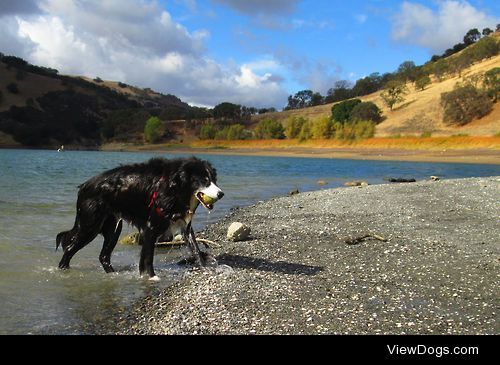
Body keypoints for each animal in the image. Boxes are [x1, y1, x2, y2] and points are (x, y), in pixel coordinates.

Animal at [55, 156, 224, 278]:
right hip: (90, 226)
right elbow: (148, 257)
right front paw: (151, 277)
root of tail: (83, 186)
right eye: (204, 180)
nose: (221, 194)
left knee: (103, 256)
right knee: (69, 249)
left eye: (214, 180)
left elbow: (196, 249)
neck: (174, 185)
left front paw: (205, 268)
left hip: (113, 228)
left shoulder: (184, 225)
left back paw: (113, 274)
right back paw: (64, 270)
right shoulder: (151, 227)